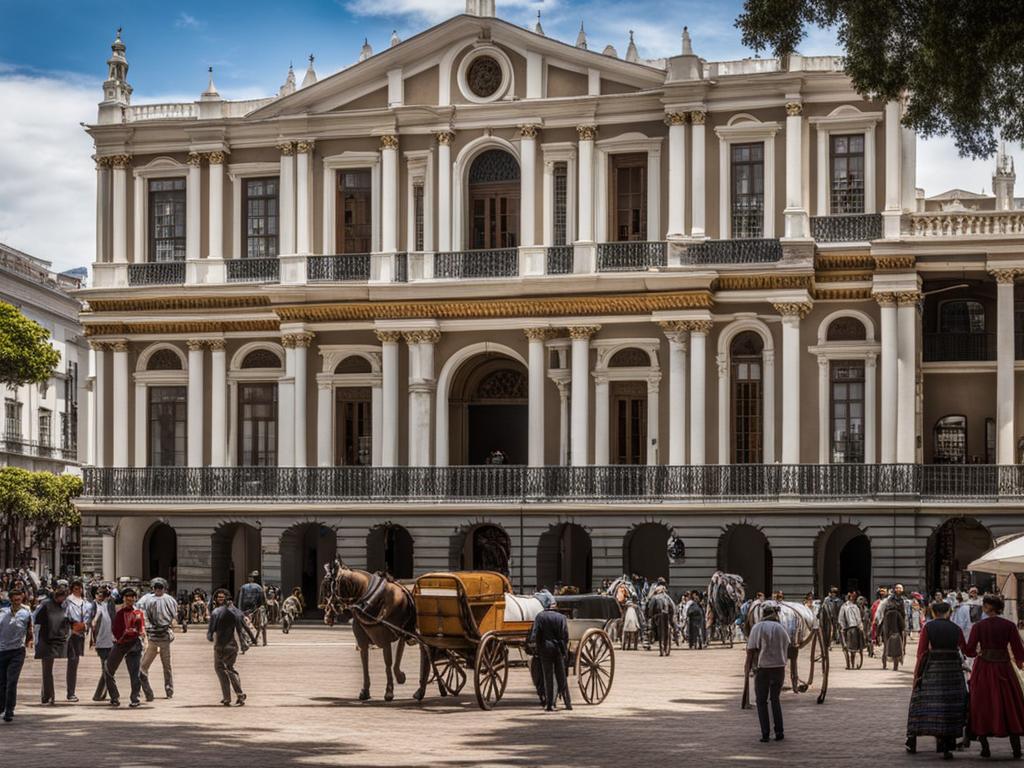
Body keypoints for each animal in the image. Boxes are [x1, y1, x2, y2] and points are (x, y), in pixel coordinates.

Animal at [321, 561, 413, 704]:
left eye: (332, 588)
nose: (327, 616)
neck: (373, 599)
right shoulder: (362, 642)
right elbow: (365, 664)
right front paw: (365, 690)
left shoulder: (386, 640)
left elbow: (388, 663)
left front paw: (389, 690)